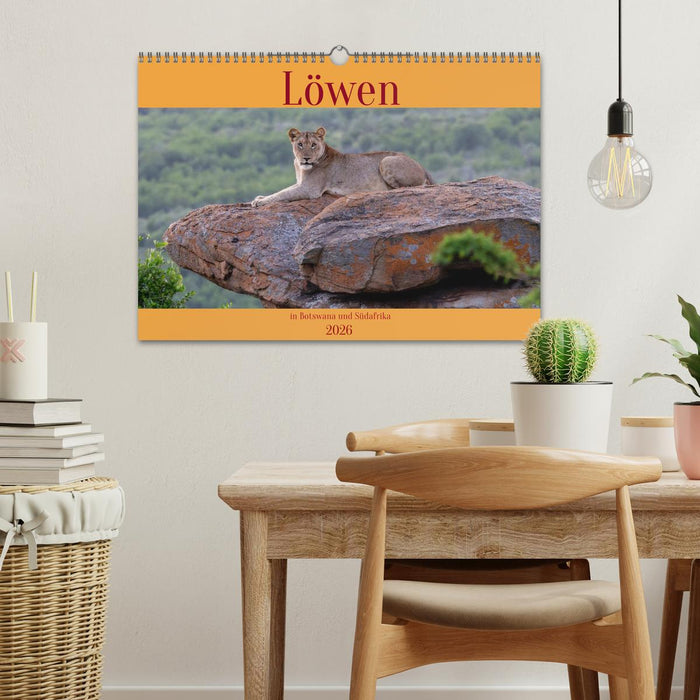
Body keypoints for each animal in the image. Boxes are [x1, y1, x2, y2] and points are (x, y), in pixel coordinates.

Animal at [251, 127, 433, 207]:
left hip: (386, 160)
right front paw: (260, 197)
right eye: (300, 144)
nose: (306, 158)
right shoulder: (301, 183)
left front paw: (260, 202)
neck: (300, 167)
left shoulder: (310, 189)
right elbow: (281, 190)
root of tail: (423, 167)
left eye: (313, 145)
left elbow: (282, 194)